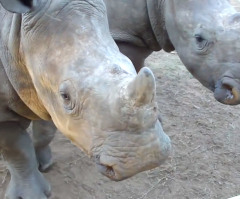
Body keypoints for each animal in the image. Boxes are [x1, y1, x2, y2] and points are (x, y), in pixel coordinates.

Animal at [0, 0, 171, 199]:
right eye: (65, 96)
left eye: (130, 64)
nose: (146, 159)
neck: (17, 33)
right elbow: (17, 149)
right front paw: (32, 193)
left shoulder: (46, 96)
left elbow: (46, 132)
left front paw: (44, 163)